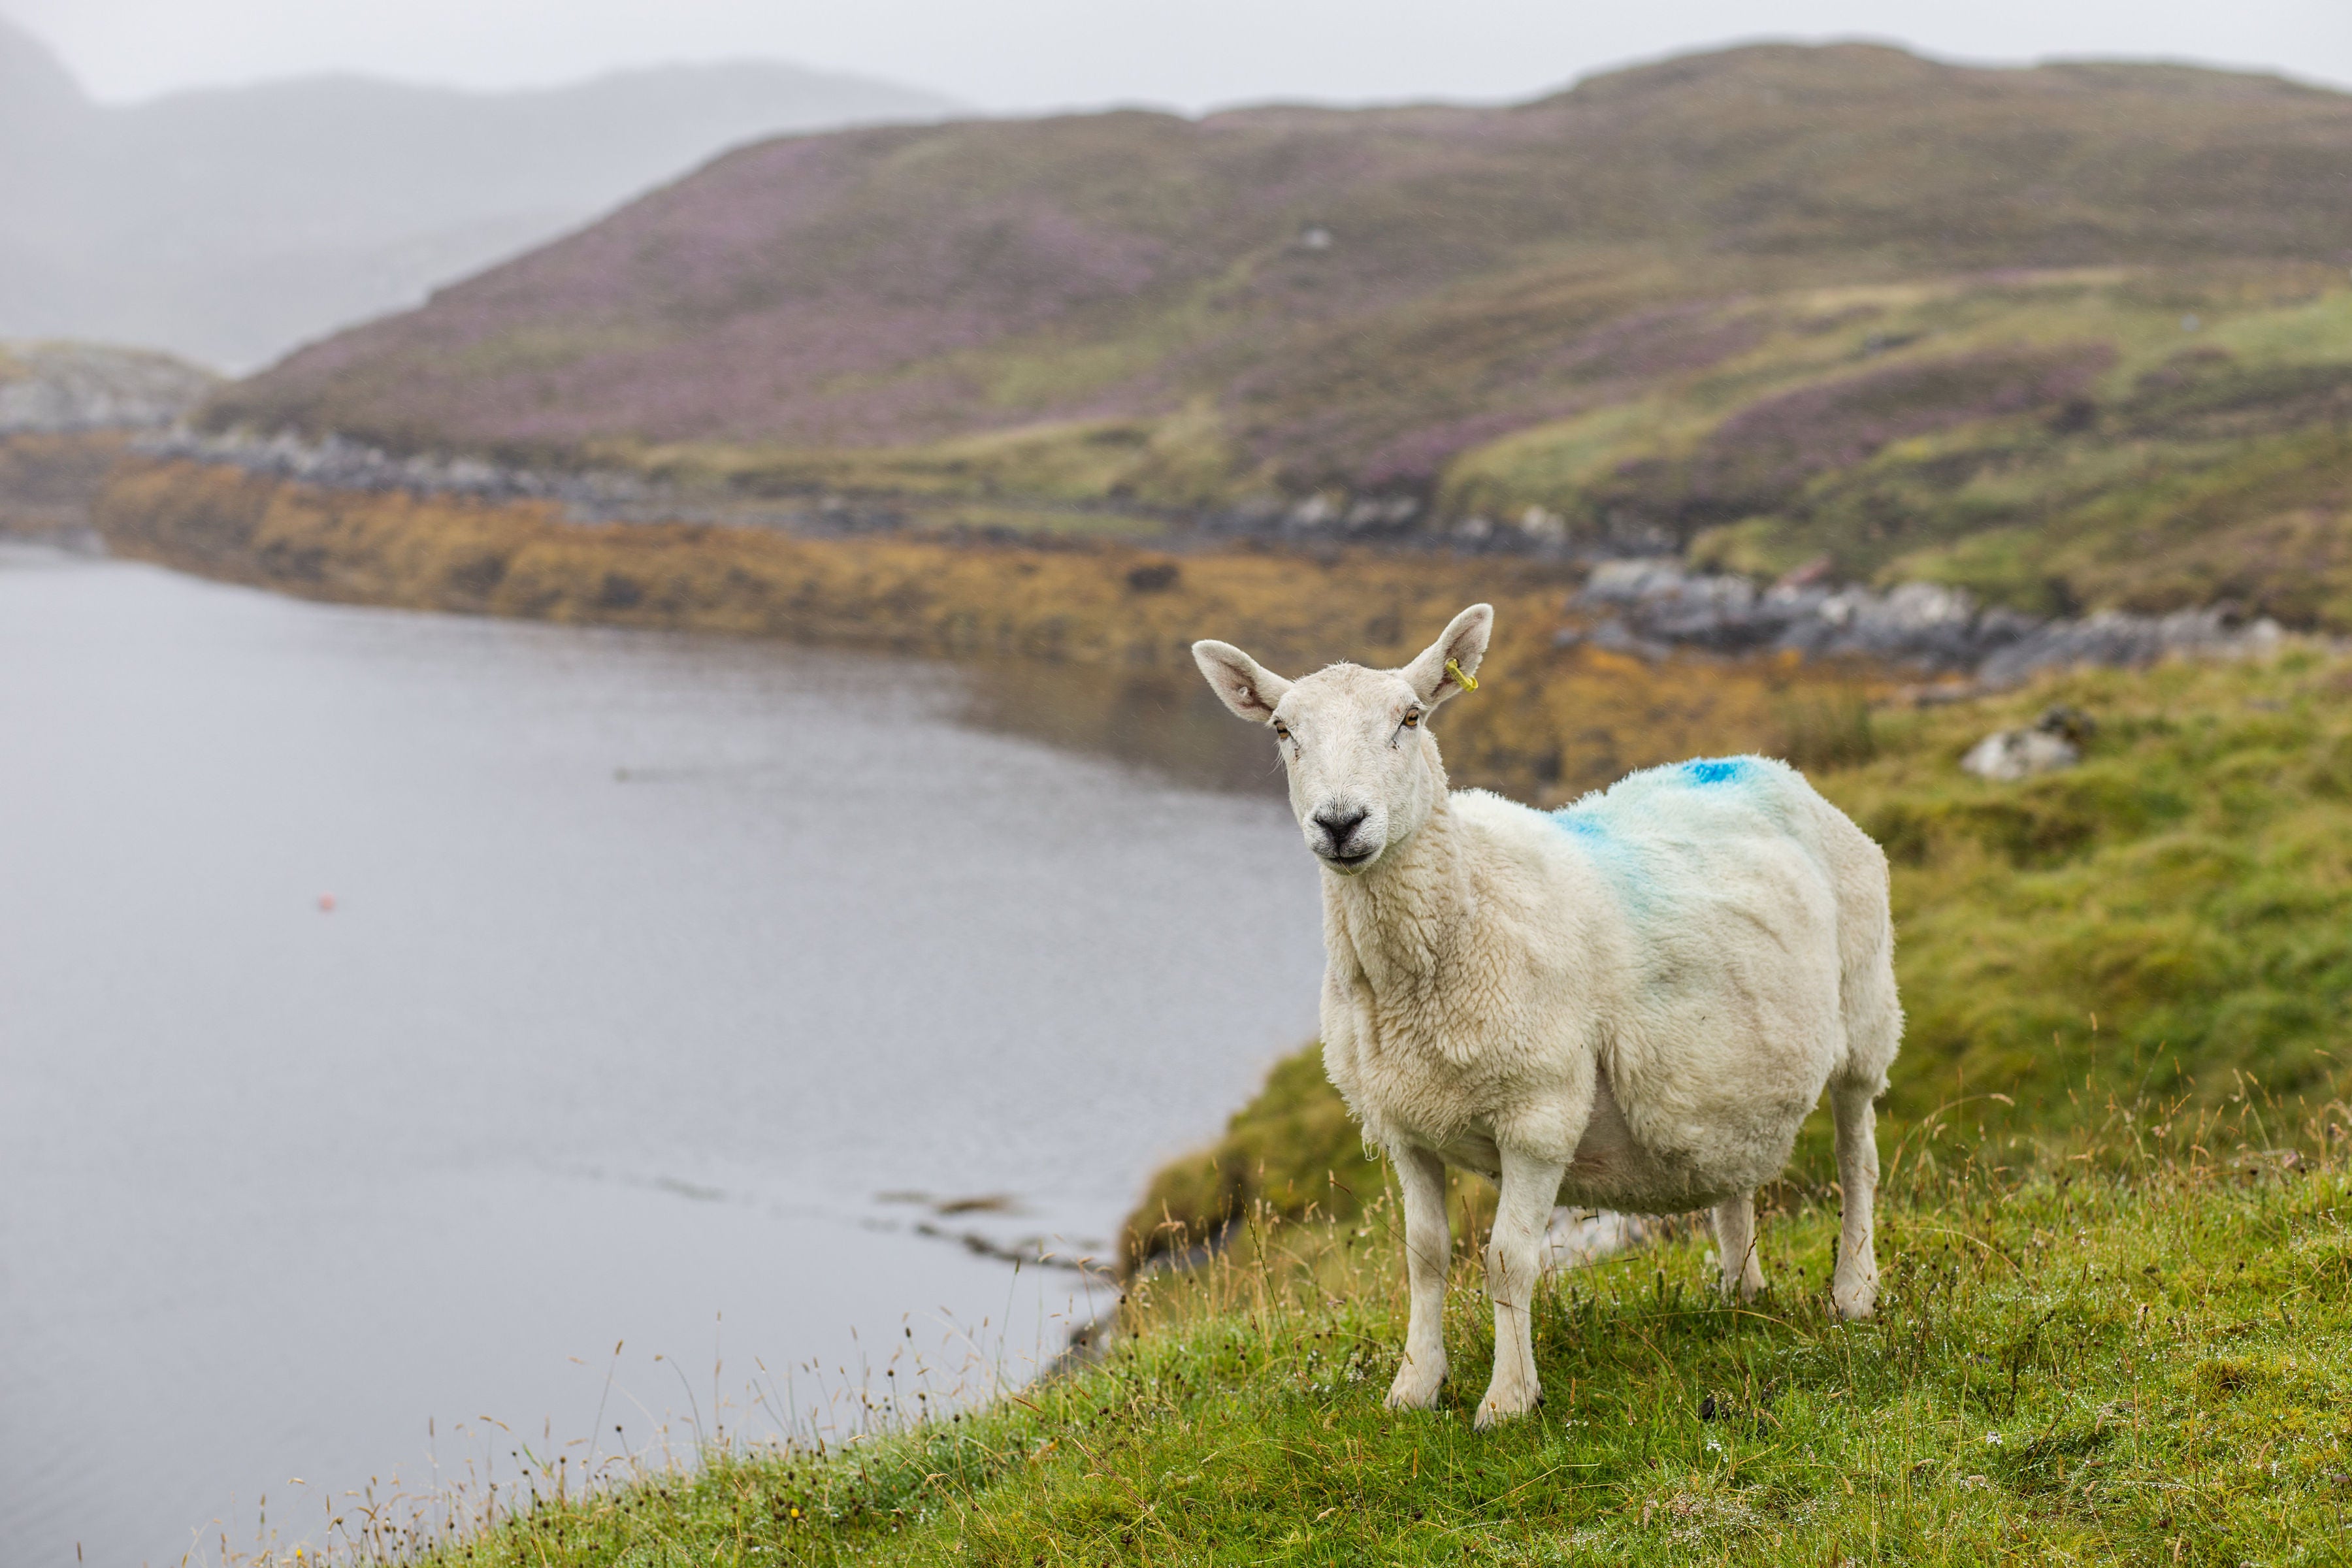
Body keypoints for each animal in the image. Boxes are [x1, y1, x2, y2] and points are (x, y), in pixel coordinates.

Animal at [1194, 606, 1891, 1429]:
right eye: (1281, 730)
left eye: (1411, 718)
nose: (1340, 823)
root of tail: (1763, 765)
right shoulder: (1403, 1124)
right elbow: (1424, 1255)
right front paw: (1414, 1387)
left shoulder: (1540, 1113)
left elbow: (1508, 1259)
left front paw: (1507, 1400)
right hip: (1723, 1077)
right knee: (1735, 1175)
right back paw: (1738, 1292)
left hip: (1867, 1014)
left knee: (1856, 1158)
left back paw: (1855, 1290)